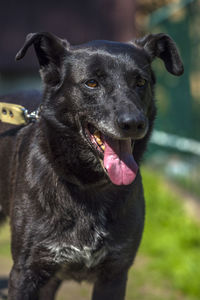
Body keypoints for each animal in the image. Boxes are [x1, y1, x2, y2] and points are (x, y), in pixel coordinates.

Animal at [0, 31, 183, 298]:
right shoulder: (25, 274)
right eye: (92, 83)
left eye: (140, 82)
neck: (88, 185)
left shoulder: (114, 274)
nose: (134, 123)